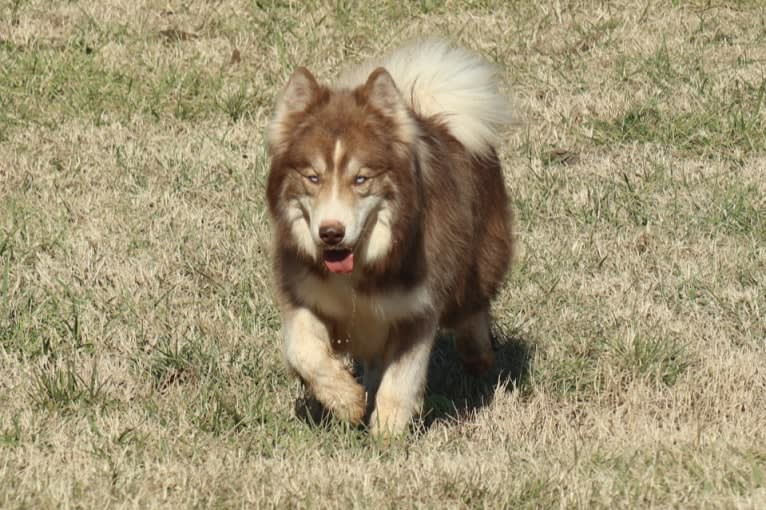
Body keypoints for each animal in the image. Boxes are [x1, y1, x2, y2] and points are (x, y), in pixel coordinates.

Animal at [268, 40, 512, 438]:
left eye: (361, 179)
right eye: (313, 178)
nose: (330, 233)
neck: (362, 264)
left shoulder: (417, 309)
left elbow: (400, 381)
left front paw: (387, 435)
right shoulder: (305, 294)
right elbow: (303, 352)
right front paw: (346, 401)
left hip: (481, 258)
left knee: (473, 307)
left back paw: (478, 354)